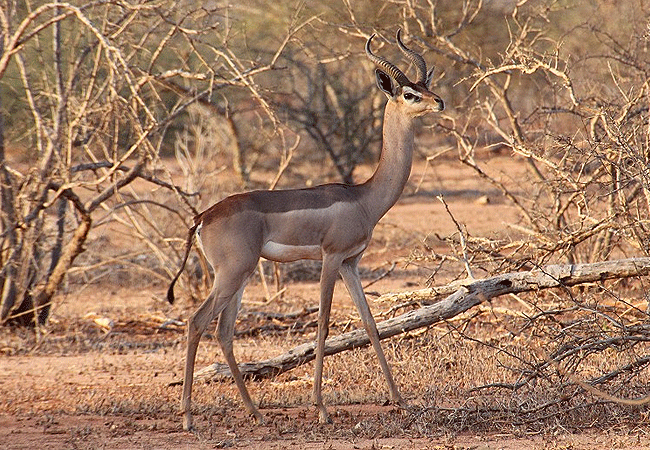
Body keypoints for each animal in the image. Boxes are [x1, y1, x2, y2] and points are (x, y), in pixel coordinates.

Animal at [167, 29, 444, 430]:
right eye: (409, 93)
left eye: (425, 85)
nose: (439, 102)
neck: (363, 197)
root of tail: (203, 216)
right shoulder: (330, 259)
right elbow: (324, 326)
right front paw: (322, 407)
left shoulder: (351, 264)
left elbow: (371, 324)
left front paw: (400, 399)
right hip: (232, 274)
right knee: (195, 322)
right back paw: (189, 416)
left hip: (240, 275)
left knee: (223, 331)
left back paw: (254, 412)